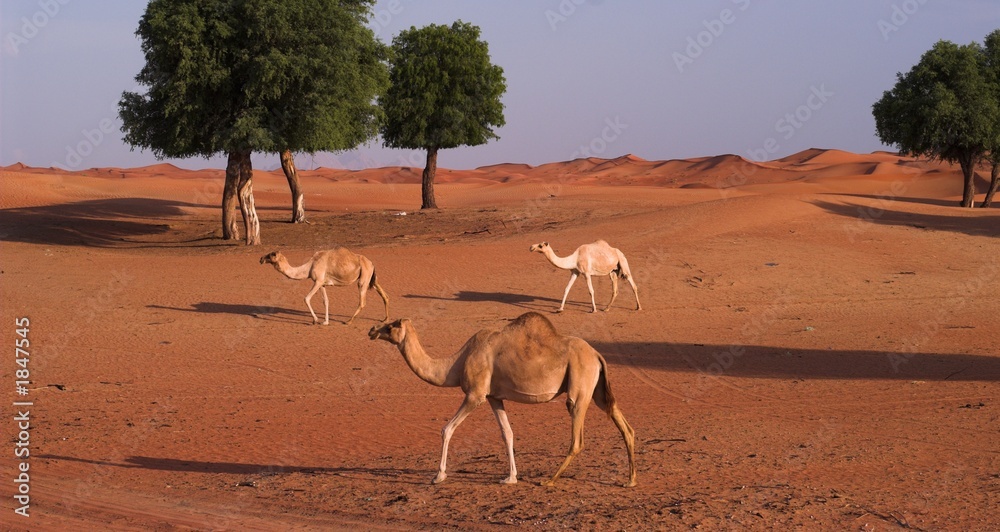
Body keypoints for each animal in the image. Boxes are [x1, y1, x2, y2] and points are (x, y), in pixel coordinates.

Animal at [259, 248, 389, 325]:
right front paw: (325, 322)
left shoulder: (318, 281)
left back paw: (348, 321)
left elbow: (306, 298)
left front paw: (315, 320)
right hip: (371, 278)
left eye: (271, 255)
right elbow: (326, 301)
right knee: (385, 296)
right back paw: (385, 319)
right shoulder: (322, 283)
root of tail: (371, 263)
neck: (309, 266)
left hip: (363, 278)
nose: (261, 258)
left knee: (362, 301)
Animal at [368, 311, 636, 487]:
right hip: (596, 387)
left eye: (391, 325)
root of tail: (597, 354)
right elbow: (507, 433)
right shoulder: (494, 397)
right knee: (623, 424)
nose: (371, 330)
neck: (457, 362)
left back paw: (549, 480)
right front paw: (510, 477)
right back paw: (631, 480)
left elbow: (447, 429)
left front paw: (438, 475)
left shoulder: (475, 394)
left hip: (579, 387)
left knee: (577, 438)